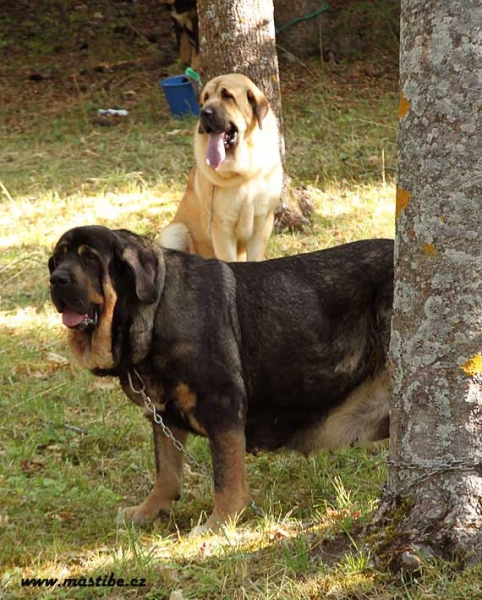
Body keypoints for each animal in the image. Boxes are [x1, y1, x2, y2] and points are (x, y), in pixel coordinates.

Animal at [158, 72, 282, 260]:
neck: (244, 174)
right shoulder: (221, 229)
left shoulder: (262, 225)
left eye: (227, 96)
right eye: (205, 98)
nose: (203, 113)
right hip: (174, 230)